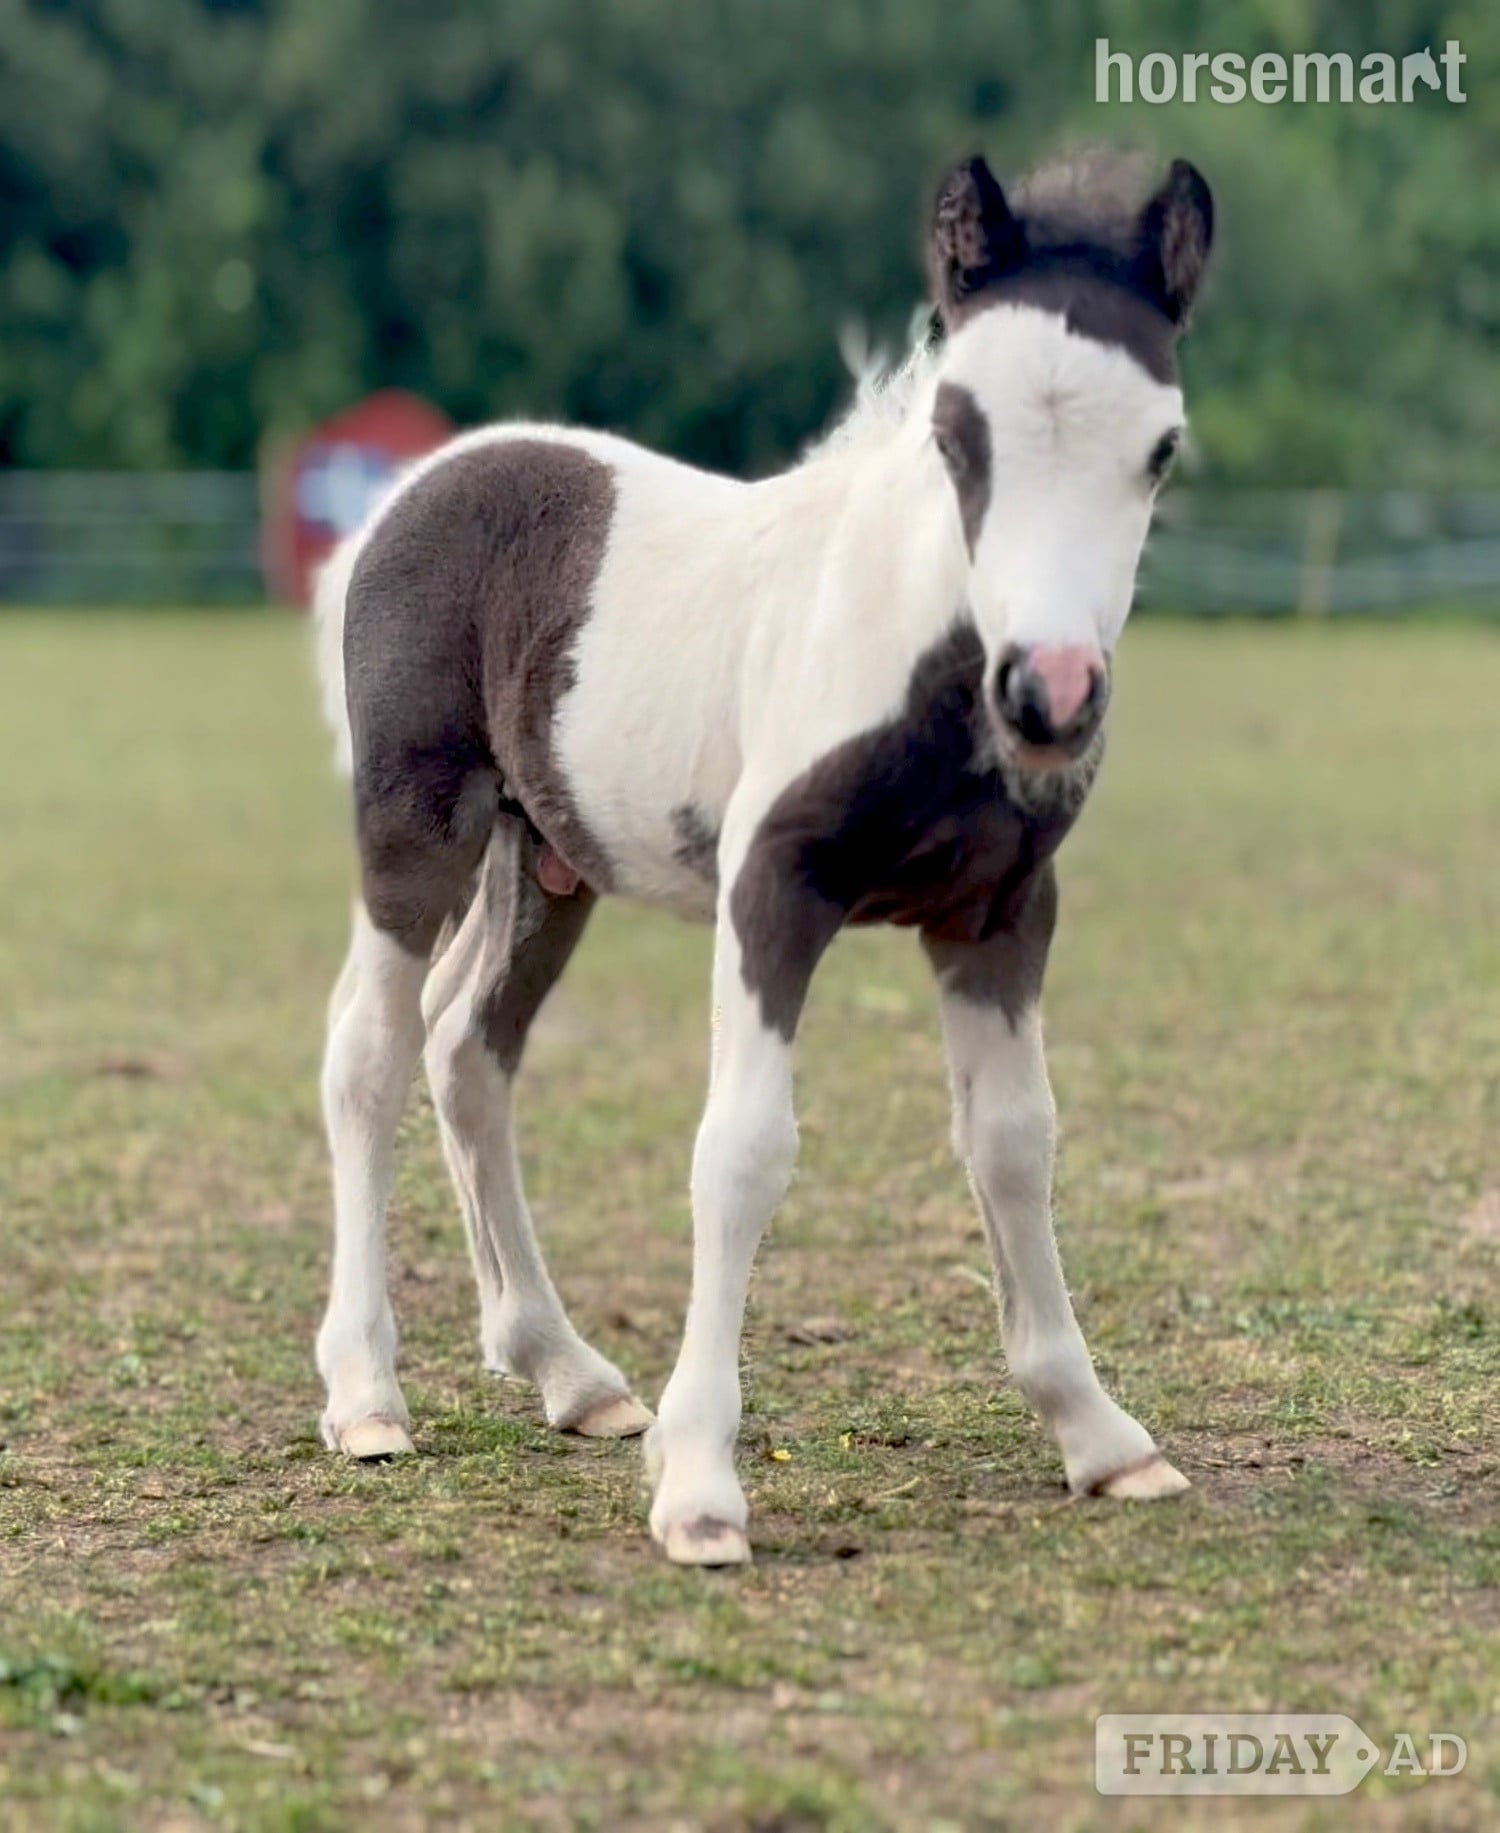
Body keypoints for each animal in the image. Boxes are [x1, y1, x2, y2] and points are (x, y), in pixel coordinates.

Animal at [312, 147, 1215, 1566]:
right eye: (956, 435)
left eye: (1159, 449)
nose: (1051, 695)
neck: (914, 657)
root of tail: (408, 492)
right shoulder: (771, 887)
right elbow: (742, 1152)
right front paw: (699, 1489)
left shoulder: (1003, 910)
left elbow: (1014, 1140)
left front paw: (1101, 1436)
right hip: (419, 828)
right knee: (371, 1051)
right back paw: (365, 1396)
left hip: (548, 861)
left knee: (469, 1049)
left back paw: (567, 1369)